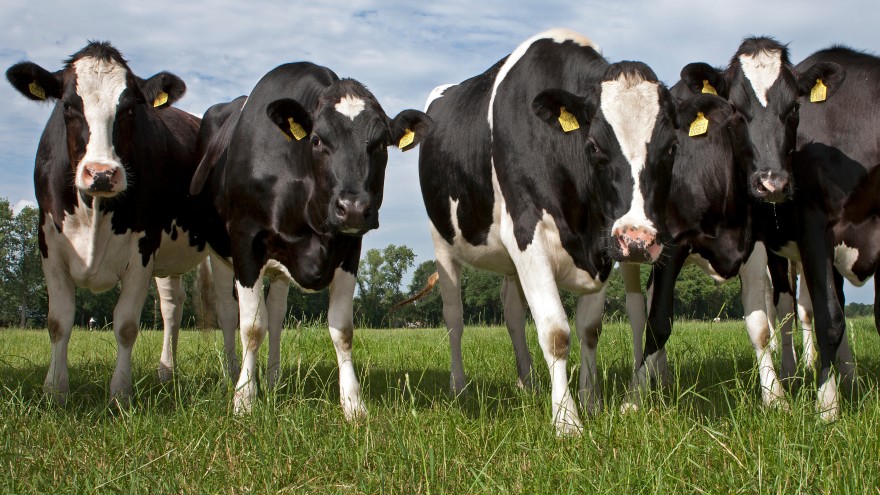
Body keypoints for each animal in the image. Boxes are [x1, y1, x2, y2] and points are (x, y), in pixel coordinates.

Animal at [5, 41, 238, 404]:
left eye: (129, 109)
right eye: (68, 106)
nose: (101, 173)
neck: (95, 211)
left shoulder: (141, 250)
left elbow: (126, 324)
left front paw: (121, 394)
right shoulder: (50, 247)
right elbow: (58, 321)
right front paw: (55, 391)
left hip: (216, 246)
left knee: (227, 309)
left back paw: (229, 373)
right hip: (169, 255)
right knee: (172, 306)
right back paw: (166, 373)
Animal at [189, 62, 432, 420]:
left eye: (380, 144)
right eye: (317, 140)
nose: (353, 208)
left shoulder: (349, 249)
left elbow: (341, 329)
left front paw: (353, 403)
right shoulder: (246, 241)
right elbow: (251, 327)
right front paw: (244, 399)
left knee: (276, 316)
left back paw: (273, 379)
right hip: (218, 253)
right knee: (229, 314)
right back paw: (233, 376)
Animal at [418, 28, 678, 435]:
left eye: (671, 148)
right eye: (593, 146)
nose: (638, 240)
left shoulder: (603, 249)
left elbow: (589, 329)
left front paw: (591, 401)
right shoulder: (528, 235)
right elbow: (556, 332)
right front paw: (567, 421)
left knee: (511, 313)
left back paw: (528, 384)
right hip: (442, 242)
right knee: (454, 318)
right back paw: (459, 388)